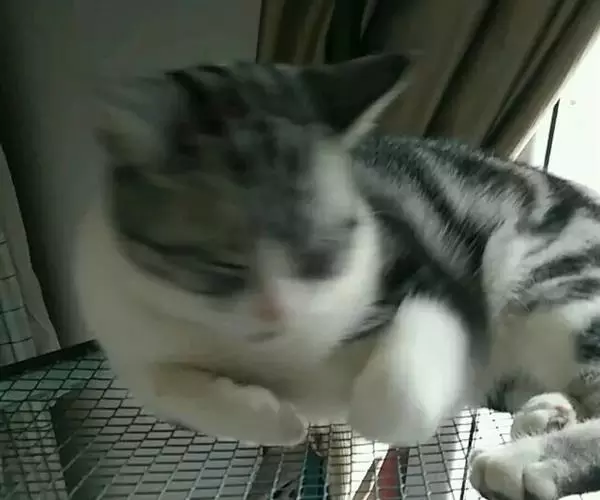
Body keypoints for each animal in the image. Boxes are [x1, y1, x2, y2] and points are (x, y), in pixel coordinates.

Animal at [74, 53, 600, 500]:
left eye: (319, 253)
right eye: (222, 264)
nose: (276, 314)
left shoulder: (434, 275)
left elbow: (394, 395)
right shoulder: (127, 334)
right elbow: (161, 383)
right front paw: (275, 418)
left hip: (554, 288)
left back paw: (526, 462)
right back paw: (547, 415)